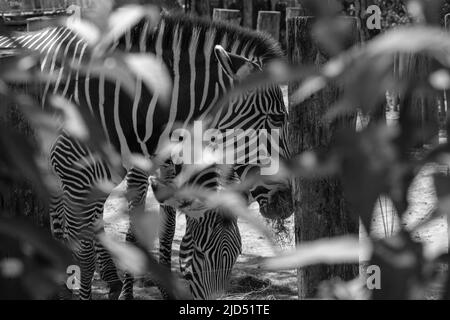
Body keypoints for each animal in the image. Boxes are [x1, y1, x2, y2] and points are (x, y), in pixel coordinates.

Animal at [0, 13, 294, 300]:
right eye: (278, 118)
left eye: (236, 254)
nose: (287, 203)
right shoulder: (90, 173)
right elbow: (89, 253)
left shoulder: (162, 169)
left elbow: (164, 229)